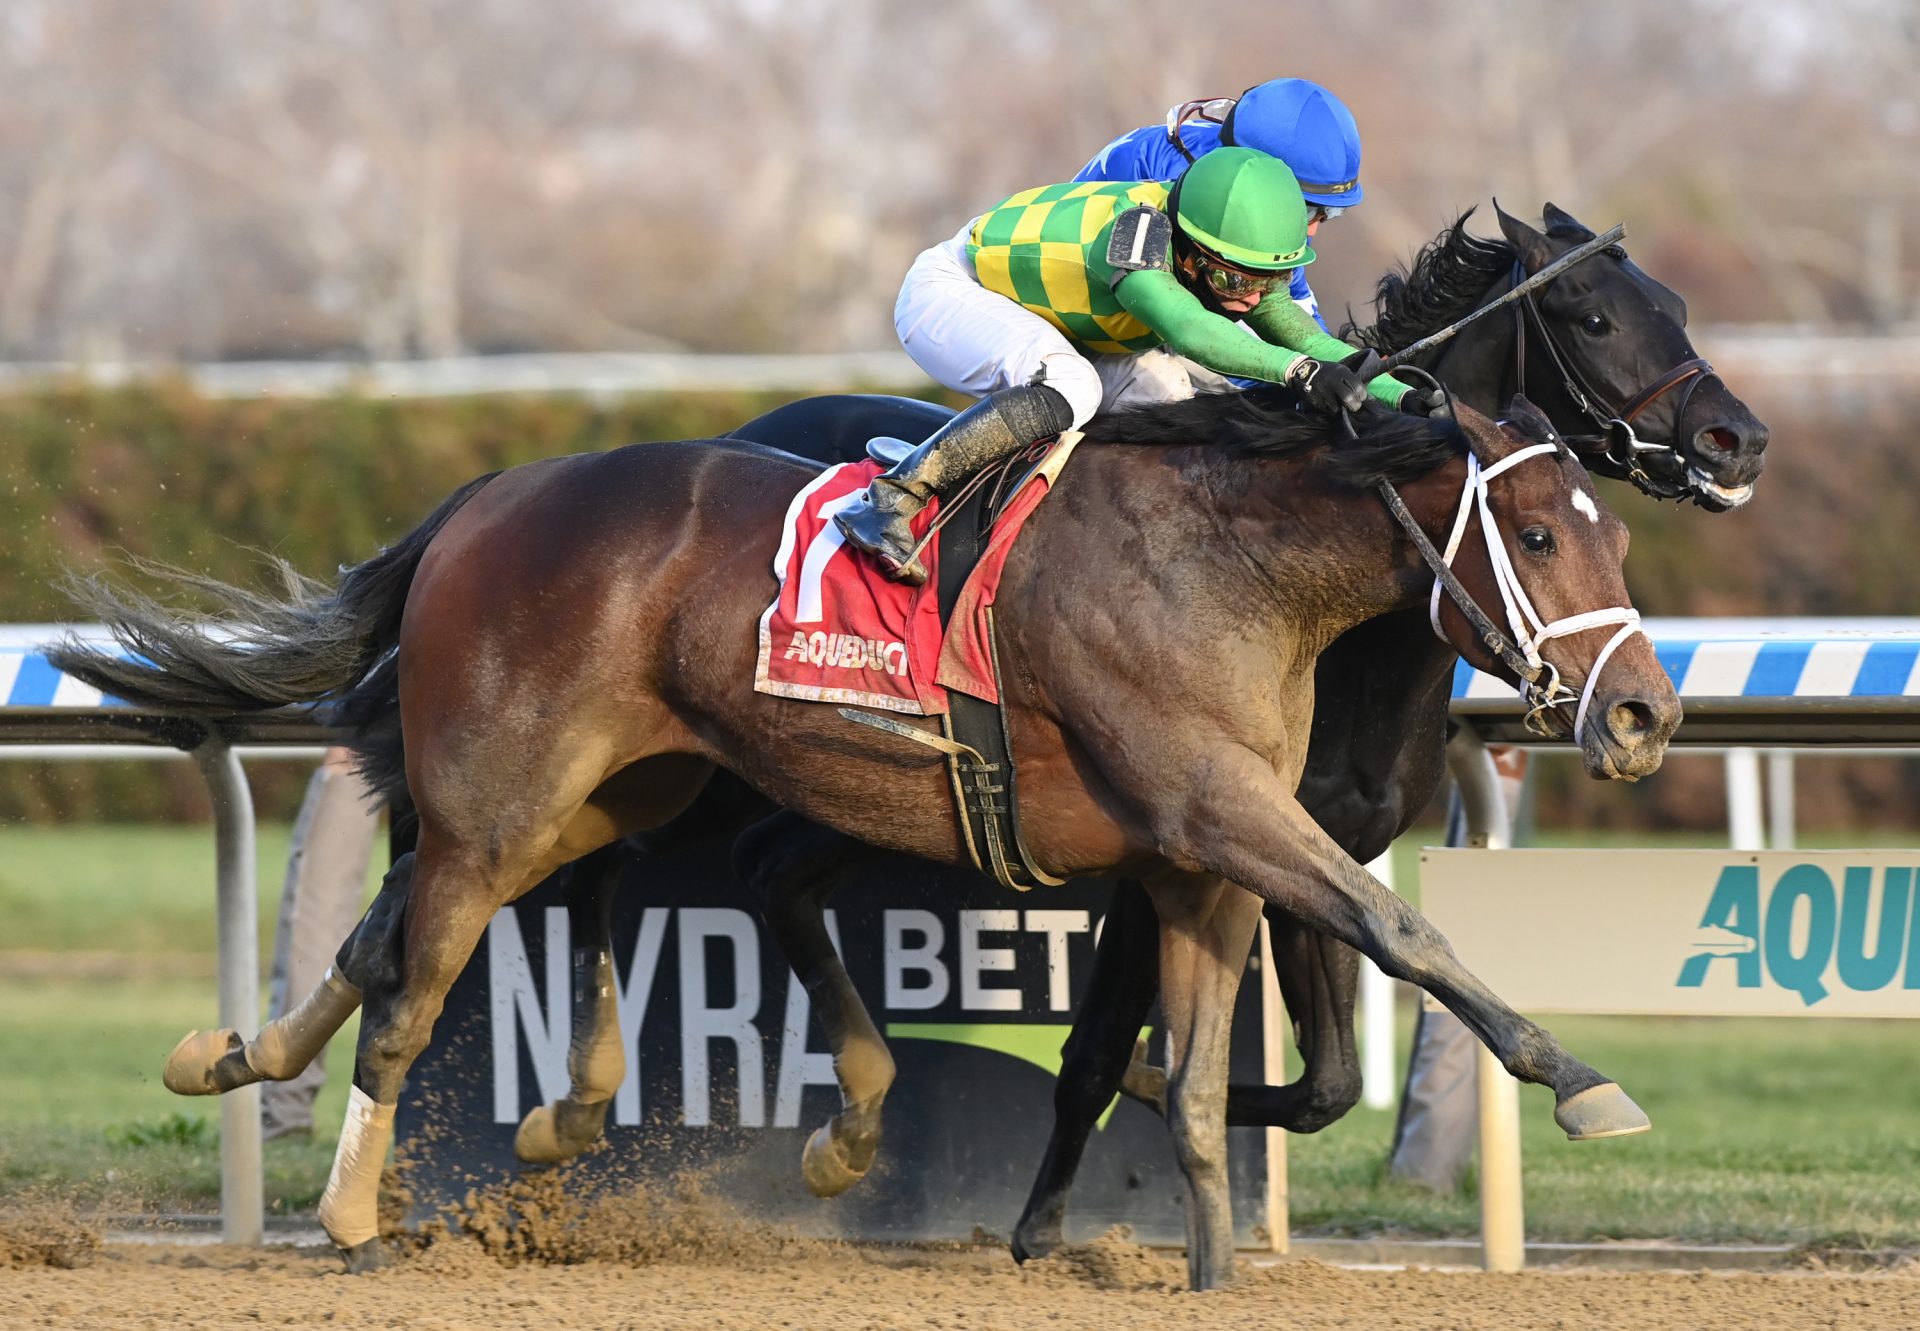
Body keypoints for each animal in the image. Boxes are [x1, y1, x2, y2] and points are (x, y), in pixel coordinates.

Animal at [52, 389, 1681, 1282]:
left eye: (1612, 529)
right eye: (1541, 534)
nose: (1647, 711)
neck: (1235, 564)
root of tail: (485, 495)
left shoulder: (1200, 858)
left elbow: (1210, 1074)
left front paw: (1203, 1250)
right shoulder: (1222, 810)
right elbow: (1397, 924)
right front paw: (1583, 1080)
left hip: (614, 784)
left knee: (419, 923)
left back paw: (255, 1058)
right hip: (505, 793)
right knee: (419, 979)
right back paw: (349, 1204)